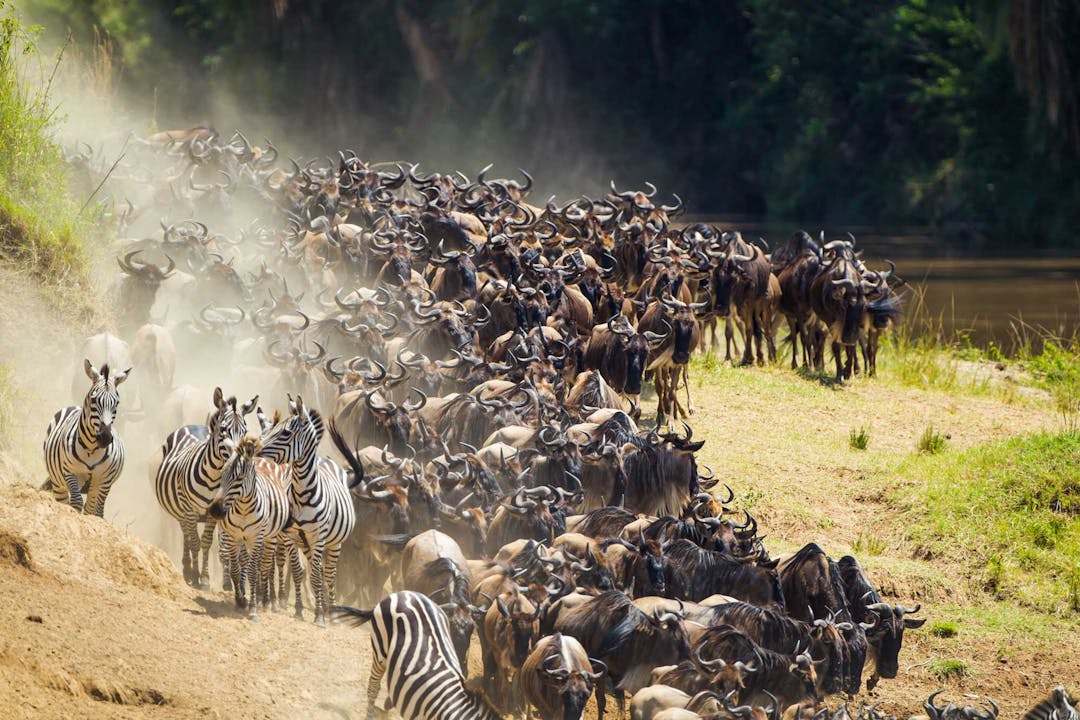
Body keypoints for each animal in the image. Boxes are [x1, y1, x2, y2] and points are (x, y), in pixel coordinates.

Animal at [44, 360, 131, 518]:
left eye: (116, 403)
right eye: (94, 400)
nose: (105, 438)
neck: (91, 448)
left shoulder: (104, 481)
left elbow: (97, 512)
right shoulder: (71, 473)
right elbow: (76, 502)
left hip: (93, 487)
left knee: (90, 508)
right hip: (58, 482)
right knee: (63, 500)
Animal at [152, 388, 257, 587]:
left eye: (245, 431)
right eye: (223, 430)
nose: (241, 458)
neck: (213, 478)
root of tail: (192, 425)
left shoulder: (212, 512)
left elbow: (206, 542)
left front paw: (206, 577)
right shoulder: (190, 510)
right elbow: (195, 542)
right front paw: (194, 575)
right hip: (181, 509)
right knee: (186, 534)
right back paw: (186, 569)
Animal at [206, 433, 289, 621]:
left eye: (239, 478)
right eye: (221, 475)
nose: (215, 510)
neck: (243, 508)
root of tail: (262, 459)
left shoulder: (256, 538)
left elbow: (252, 572)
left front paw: (252, 609)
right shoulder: (232, 536)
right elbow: (236, 571)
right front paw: (240, 600)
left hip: (270, 537)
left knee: (264, 567)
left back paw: (266, 602)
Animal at [258, 395, 356, 626]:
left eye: (285, 433)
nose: (254, 450)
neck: (302, 493)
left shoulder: (318, 537)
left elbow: (317, 577)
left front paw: (320, 615)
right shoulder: (292, 536)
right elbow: (298, 572)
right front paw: (299, 609)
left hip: (334, 542)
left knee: (328, 574)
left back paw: (332, 613)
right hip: (306, 543)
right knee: (315, 569)